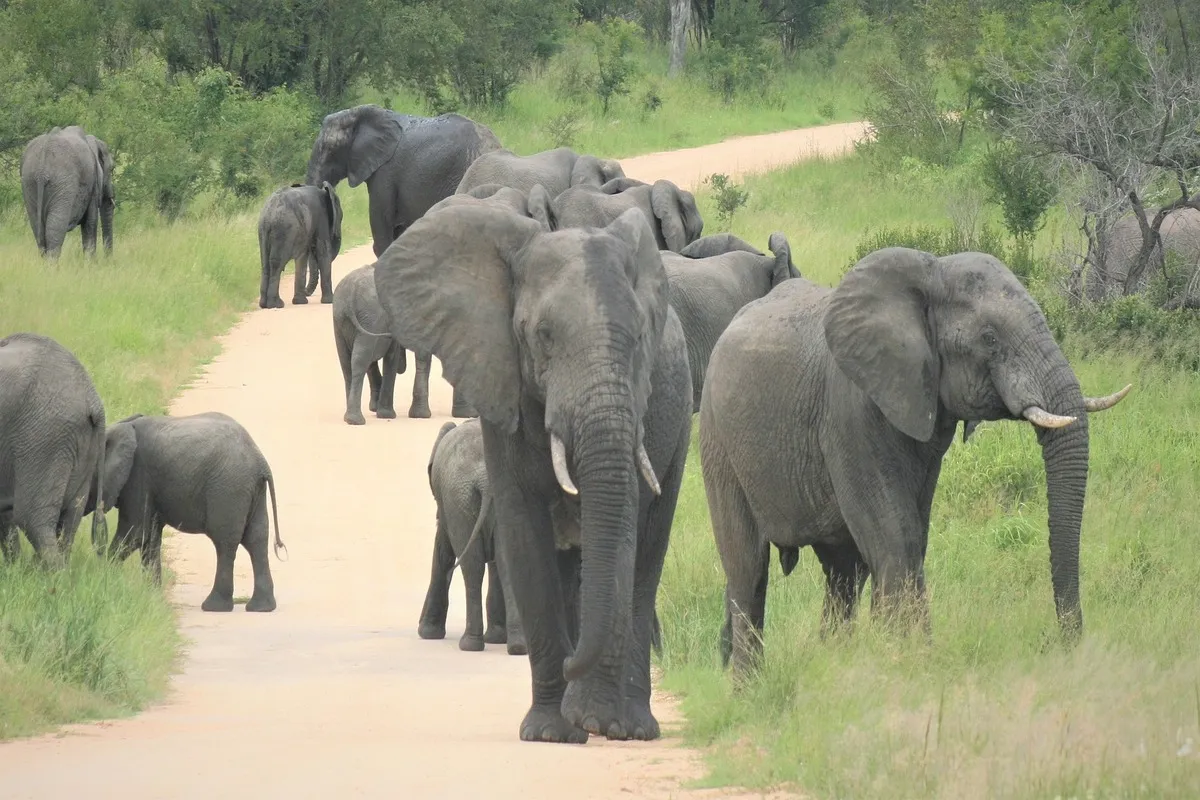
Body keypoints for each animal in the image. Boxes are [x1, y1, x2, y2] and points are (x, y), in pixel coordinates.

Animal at [20, 126, 115, 258]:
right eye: (112, 169)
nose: (108, 260)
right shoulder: (93, 183)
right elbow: (90, 223)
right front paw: (90, 262)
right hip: (62, 183)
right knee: (55, 228)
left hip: (29, 182)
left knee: (38, 229)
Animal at [89, 412, 286, 612]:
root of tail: (261, 463)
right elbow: (149, 538)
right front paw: (152, 596)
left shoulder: (138, 476)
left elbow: (136, 532)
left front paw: (105, 578)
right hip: (253, 492)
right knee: (256, 539)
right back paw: (261, 607)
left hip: (229, 488)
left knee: (225, 542)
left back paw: (214, 607)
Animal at [419, 420, 527, 655]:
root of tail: (485, 479)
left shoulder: (445, 507)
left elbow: (442, 552)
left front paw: (427, 633)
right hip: (490, 498)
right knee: (504, 564)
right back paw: (516, 646)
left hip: (458, 499)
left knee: (471, 566)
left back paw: (469, 645)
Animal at [699, 247, 1133, 675]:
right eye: (990, 339)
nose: (1058, 643)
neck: (930, 271)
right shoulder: (849, 412)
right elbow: (897, 535)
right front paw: (908, 665)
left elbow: (912, 536)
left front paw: (900, 659)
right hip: (717, 438)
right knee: (749, 570)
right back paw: (750, 685)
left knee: (843, 572)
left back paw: (832, 660)